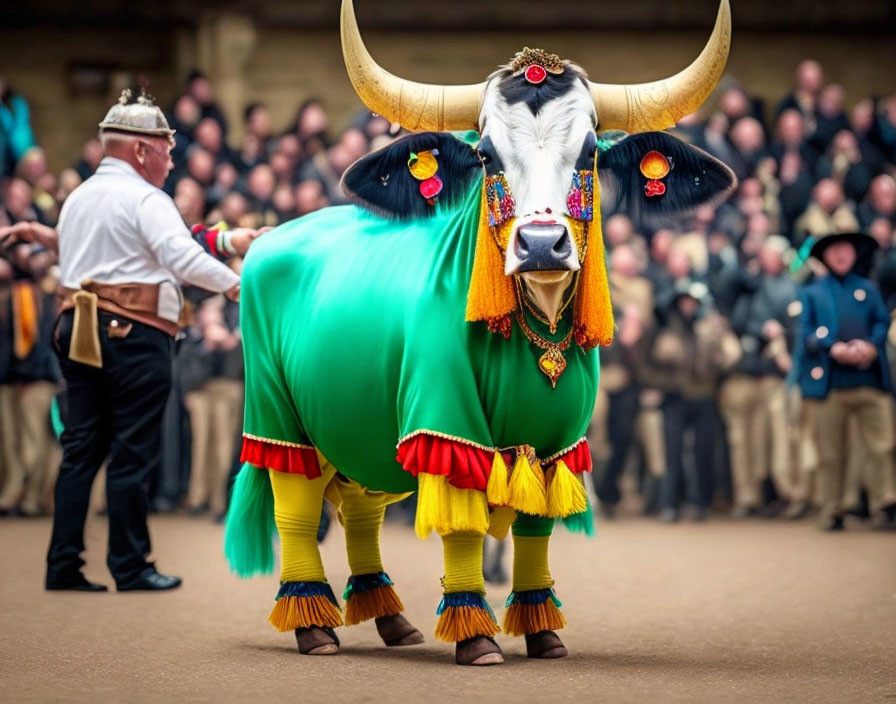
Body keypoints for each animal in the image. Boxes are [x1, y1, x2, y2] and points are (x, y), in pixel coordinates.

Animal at [226, 0, 736, 664]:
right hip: (279, 416)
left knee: (361, 510)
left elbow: (536, 525)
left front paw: (542, 628)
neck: (533, 328)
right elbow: (465, 523)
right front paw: (476, 634)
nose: (542, 244)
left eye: (591, 150)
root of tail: (270, 239)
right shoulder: (446, 420)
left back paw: (389, 617)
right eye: (488, 155)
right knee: (296, 508)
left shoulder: (557, 440)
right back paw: (313, 623)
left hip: (357, 423)